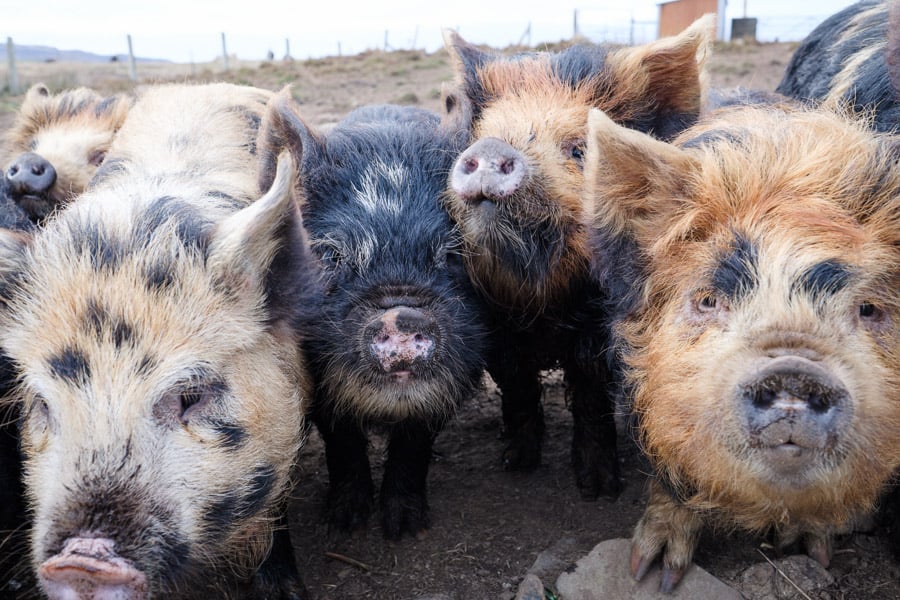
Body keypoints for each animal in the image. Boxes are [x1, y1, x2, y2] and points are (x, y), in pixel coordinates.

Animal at [257, 92, 488, 540]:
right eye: (331, 256)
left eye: (451, 254)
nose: (401, 316)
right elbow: (341, 440)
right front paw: (344, 524)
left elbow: (415, 443)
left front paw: (404, 529)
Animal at [439, 16, 714, 500]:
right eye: (482, 134)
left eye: (579, 150)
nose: (490, 150)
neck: (542, 305)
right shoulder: (497, 329)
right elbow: (517, 388)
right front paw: (516, 465)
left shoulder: (599, 332)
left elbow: (590, 396)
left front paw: (600, 489)